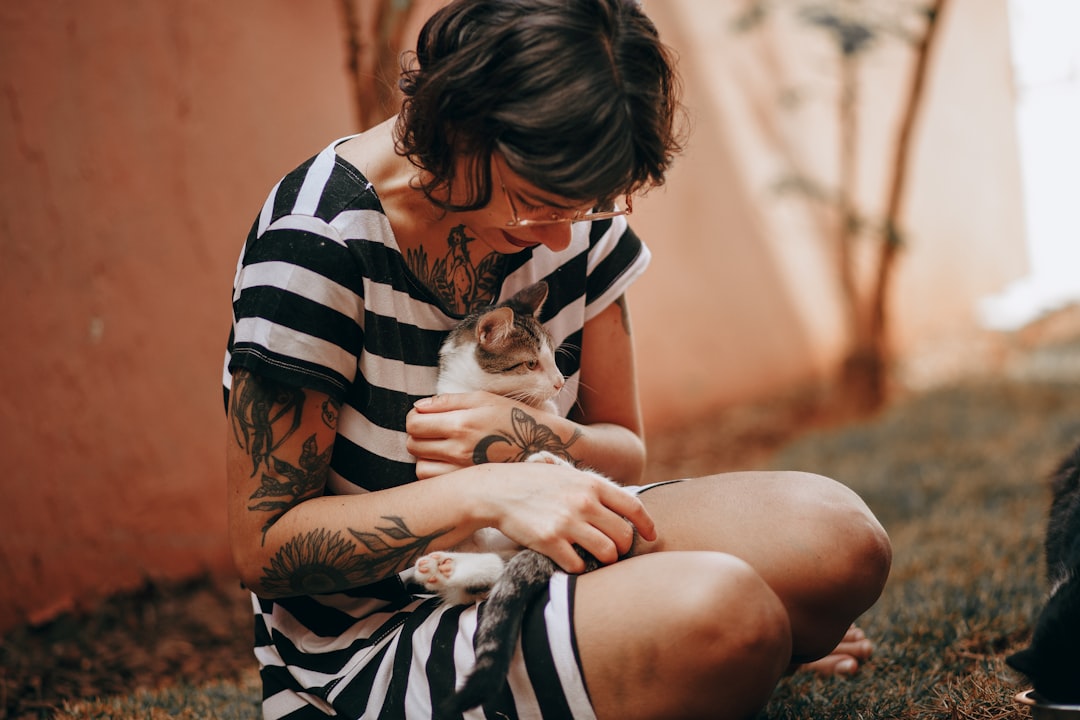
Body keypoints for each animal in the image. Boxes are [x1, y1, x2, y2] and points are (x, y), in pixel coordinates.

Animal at [412, 280, 630, 716]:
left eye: (552, 358)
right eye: (530, 364)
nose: (560, 382)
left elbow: (547, 423)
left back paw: (548, 463)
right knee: (491, 570)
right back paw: (447, 568)